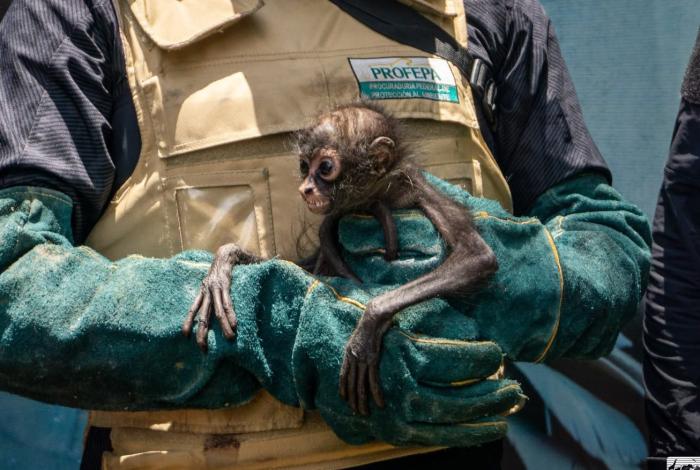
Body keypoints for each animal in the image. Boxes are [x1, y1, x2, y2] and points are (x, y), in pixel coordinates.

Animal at [182, 103, 498, 416]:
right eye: (304, 166)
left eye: (325, 168)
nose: (305, 188)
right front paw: (222, 266)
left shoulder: (418, 188)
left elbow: (478, 257)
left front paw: (367, 328)